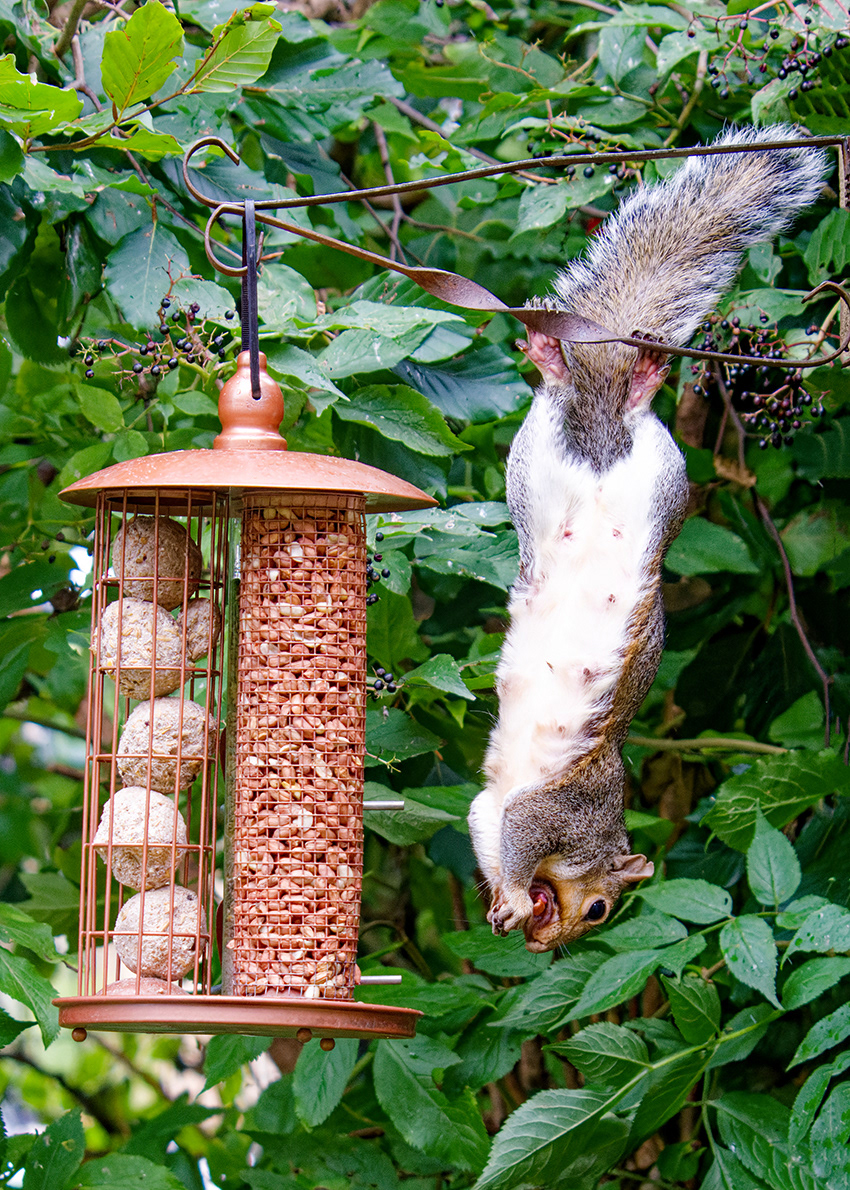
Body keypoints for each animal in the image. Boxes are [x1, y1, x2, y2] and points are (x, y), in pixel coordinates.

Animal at [468, 125, 828, 952]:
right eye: (601, 908)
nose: (549, 945)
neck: (596, 838)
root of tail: (602, 416)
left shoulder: (496, 810)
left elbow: (487, 828)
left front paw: (503, 903)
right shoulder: (556, 813)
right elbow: (520, 832)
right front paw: (513, 897)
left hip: (591, 469)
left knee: (579, 399)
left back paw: (597, 367)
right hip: (644, 474)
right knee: (606, 397)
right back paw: (613, 370)